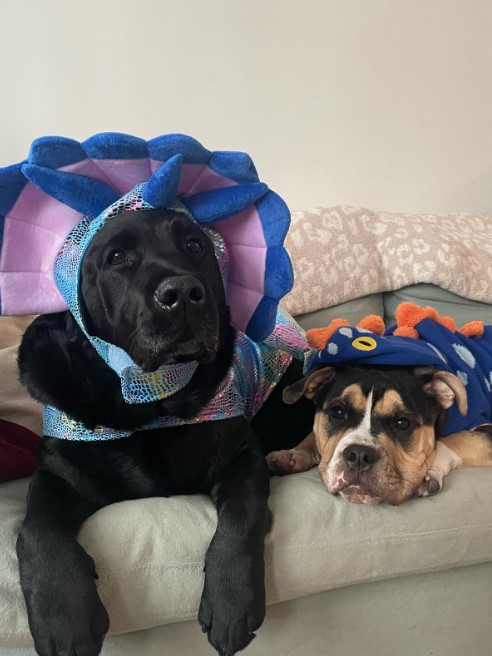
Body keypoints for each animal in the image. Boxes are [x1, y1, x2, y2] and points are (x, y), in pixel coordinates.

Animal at [18, 209, 316, 656]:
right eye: (117, 256)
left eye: (194, 245)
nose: (183, 293)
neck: (148, 403)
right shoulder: (57, 471)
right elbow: (36, 527)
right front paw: (63, 620)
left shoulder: (241, 452)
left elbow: (243, 514)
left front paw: (232, 602)